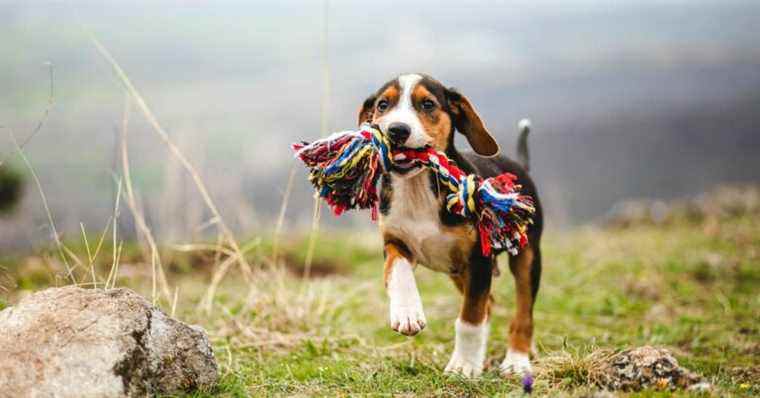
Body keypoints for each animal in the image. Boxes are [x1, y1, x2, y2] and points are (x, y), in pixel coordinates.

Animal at [360, 74, 544, 376]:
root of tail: (521, 167)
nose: (397, 130)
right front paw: (407, 312)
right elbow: (397, 271)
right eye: (383, 105)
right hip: (457, 271)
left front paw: (463, 365)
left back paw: (517, 360)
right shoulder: (395, 242)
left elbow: (470, 317)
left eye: (427, 104)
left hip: (527, 257)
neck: (418, 188)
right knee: (490, 305)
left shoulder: (479, 259)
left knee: (523, 312)